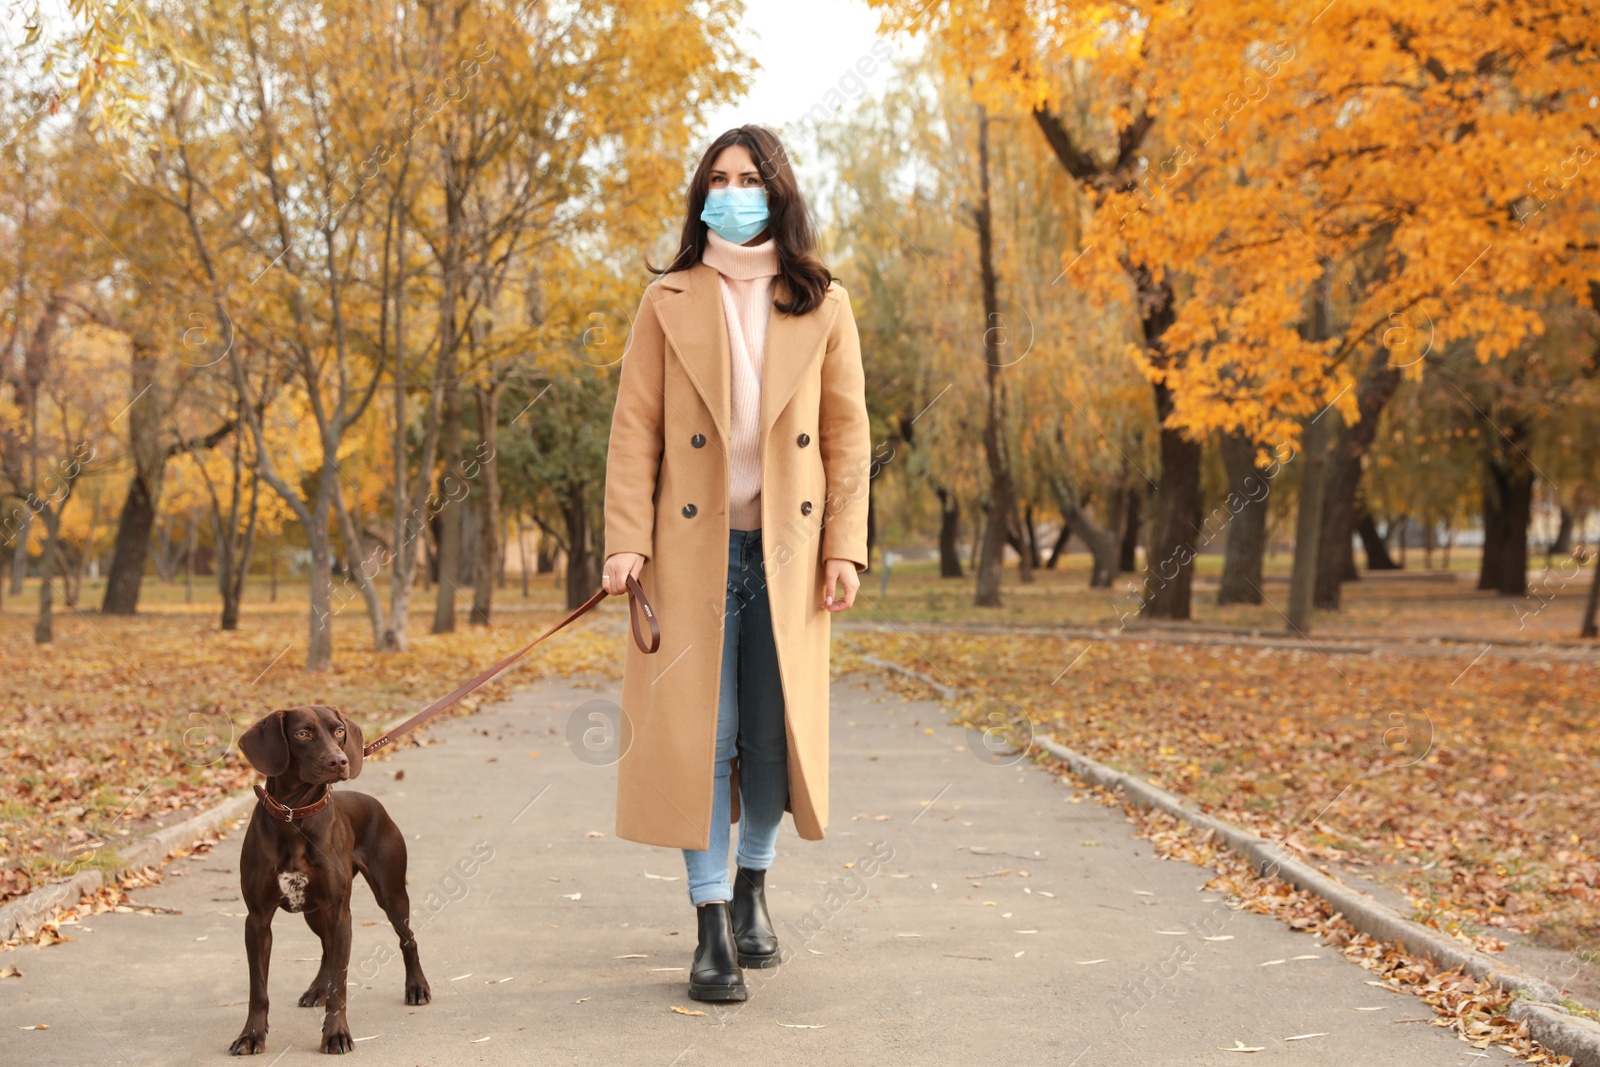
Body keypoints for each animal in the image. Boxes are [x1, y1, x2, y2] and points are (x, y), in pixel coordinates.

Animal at [230, 703, 432, 1055]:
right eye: (301, 733)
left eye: (339, 730)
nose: (340, 761)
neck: (294, 817)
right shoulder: (257, 920)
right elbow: (259, 989)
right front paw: (252, 1035)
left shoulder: (340, 914)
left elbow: (340, 984)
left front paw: (335, 1034)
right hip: (314, 912)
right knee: (326, 947)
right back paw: (316, 989)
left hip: (390, 894)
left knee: (407, 939)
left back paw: (417, 987)